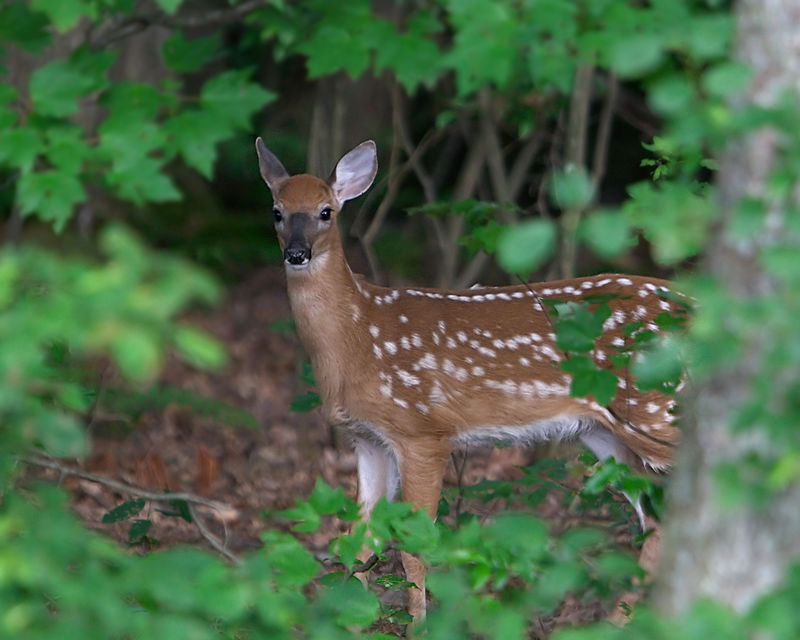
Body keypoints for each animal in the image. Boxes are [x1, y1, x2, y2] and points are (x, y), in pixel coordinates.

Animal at [255, 137, 682, 625]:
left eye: (325, 211)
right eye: (277, 211)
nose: (297, 253)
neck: (357, 337)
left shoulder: (422, 431)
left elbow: (414, 548)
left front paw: (419, 627)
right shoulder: (367, 439)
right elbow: (359, 540)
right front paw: (353, 620)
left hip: (658, 411)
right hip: (606, 435)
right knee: (657, 524)